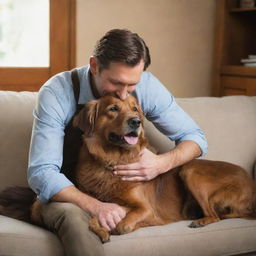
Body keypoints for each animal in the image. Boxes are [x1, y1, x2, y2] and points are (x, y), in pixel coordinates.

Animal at [70, 94, 256, 242]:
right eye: (113, 108)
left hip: (190, 171)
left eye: (135, 109)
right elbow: (93, 218)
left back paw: (200, 221)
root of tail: (250, 183)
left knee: (215, 216)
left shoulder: (148, 209)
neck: (114, 159)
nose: (136, 121)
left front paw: (116, 227)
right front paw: (102, 231)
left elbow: (123, 225)